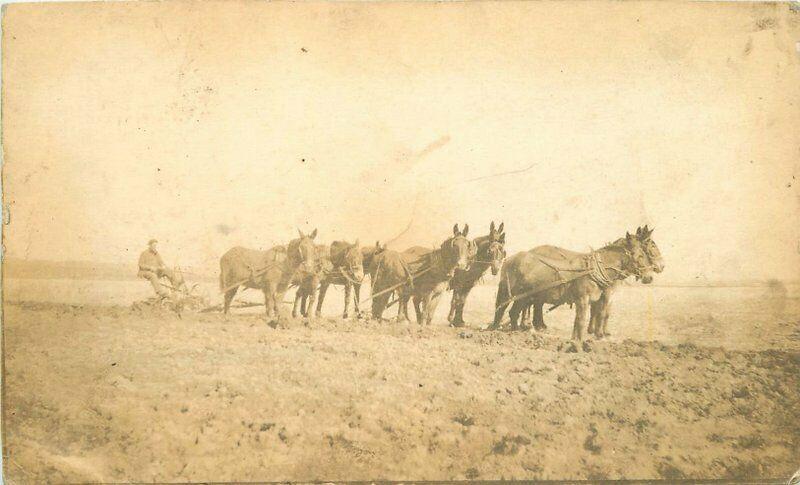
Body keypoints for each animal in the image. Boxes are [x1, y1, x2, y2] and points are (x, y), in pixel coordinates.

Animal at [494, 230, 664, 340]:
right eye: (642, 253)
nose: (651, 276)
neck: (596, 269)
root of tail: (510, 259)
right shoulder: (588, 298)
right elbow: (592, 316)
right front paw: (591, 337)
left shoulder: (596, 297)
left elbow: (589, 317)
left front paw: (588, 336)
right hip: (515, 294)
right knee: (508, 310)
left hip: (525, 296)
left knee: (515, 312)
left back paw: (519, 330)